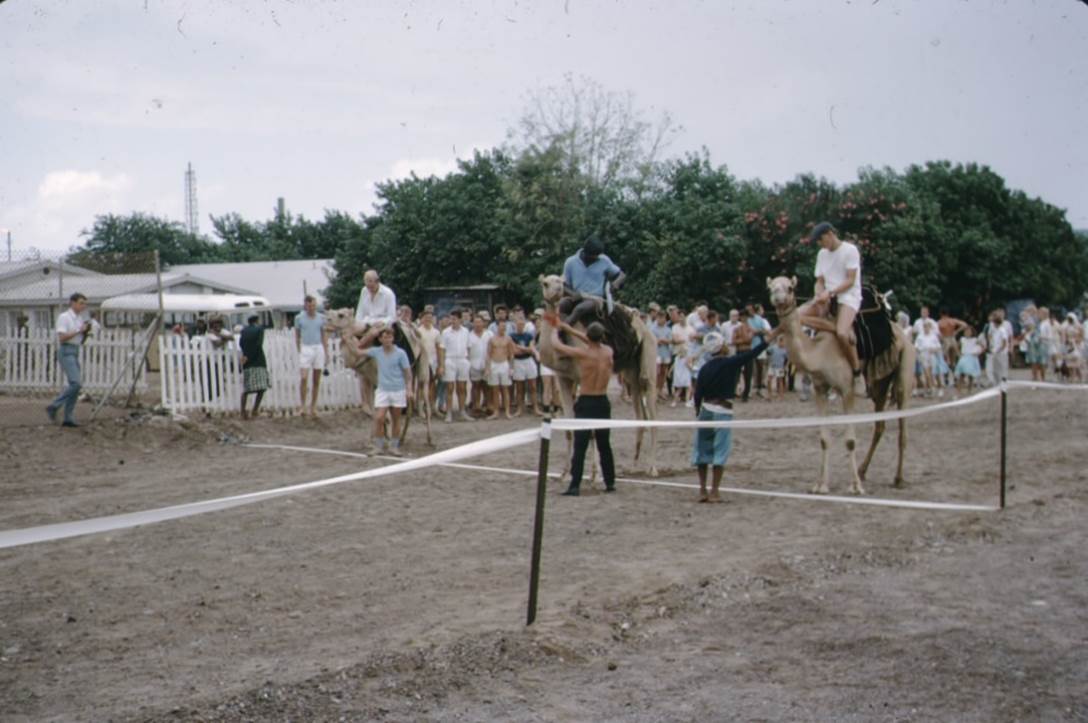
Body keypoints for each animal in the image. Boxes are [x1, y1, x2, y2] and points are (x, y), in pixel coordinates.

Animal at [322, 308, 433, 447]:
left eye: (340, 315)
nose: (327, 320)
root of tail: (417, 332)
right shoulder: (369, 380)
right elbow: (374, 410)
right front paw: (374, 440)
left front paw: (387, 439)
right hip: (409, 373)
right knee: (409, 404)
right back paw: (402, 438)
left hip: (423, 365)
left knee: (426, 400)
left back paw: (429, 439)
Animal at [537, 273, 657, 476]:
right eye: (546, 283)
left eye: (561, 282)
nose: (559, 290)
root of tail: (644, 326)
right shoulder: (563, 377)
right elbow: (569, 427)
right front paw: (564, 473)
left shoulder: (582, 376)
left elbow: (590, 427)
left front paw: (595, 474)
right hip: (631, 372)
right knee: (640, 415)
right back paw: (634, 466)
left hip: (648, 363)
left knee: (652, 413)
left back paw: (653, 468)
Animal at [765, 273, 918, 493]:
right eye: (771, 288)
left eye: (790, 288)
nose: (777, 297)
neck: (818, 352)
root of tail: (902, 336)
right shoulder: (820, 389)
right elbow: (824, 439)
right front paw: (820, 485)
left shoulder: (846, 389)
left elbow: (850, 441)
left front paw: (855, 487)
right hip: (879, 386)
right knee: (879, 426)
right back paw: (863, 470)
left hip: (905, 371)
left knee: (902, 429)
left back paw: (897, 479)